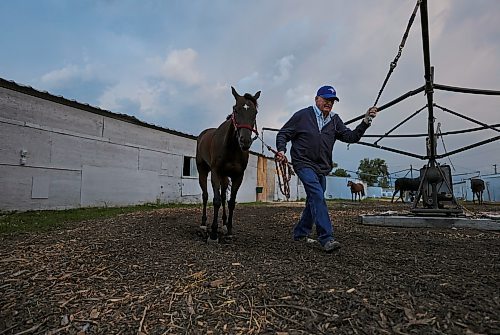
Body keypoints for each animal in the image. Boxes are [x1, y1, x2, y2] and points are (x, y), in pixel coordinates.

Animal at [194, 86, 260, 244]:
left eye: (255, 112)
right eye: (235, 109)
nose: (245, 141)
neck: (232, 148)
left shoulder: (237, 176)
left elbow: (231, 202)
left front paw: (229, 230)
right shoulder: (216, 172)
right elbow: (216, 200)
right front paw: (213, 234)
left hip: (225, 177)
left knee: (224, 197)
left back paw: (223, 224)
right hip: (203, 171)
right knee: (205, 195)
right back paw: (204, 225)